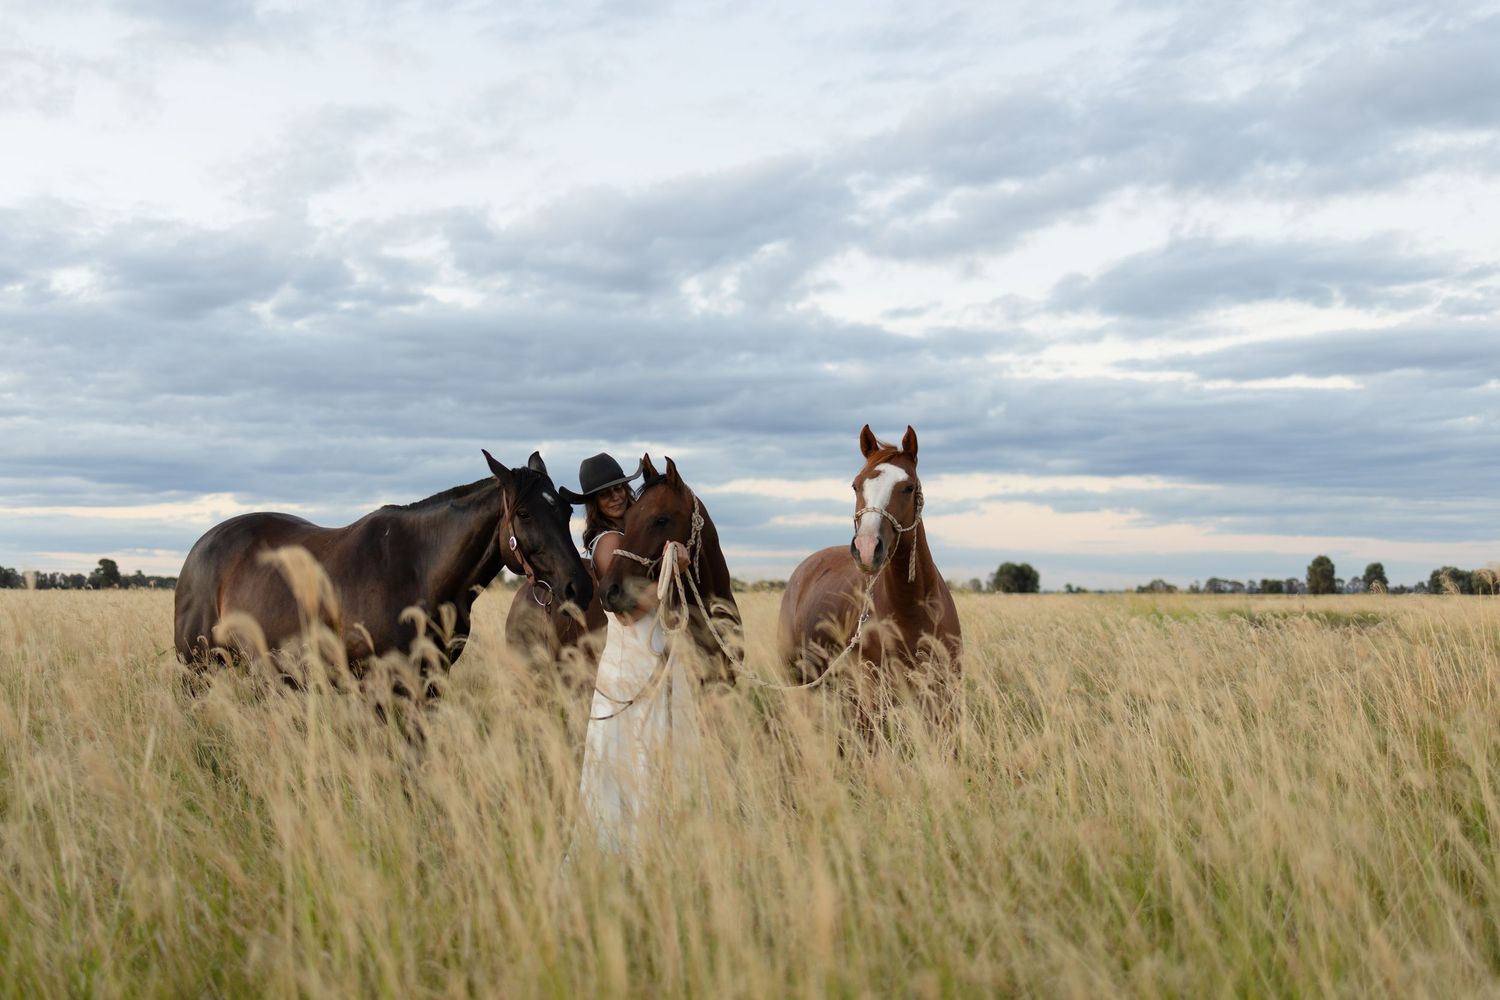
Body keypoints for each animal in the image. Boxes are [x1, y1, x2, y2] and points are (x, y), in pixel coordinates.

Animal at [173, 450, 592, 682]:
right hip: (197, 668)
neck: (420, 572)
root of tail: (200, 547)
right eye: (524, 513)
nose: (579, 587)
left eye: (568, 511)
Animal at [777, 425, 961, 729]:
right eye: (856, 485)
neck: (913, 611)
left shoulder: (942, 698)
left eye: (908, 487)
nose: (865, 548)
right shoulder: (870, 699)